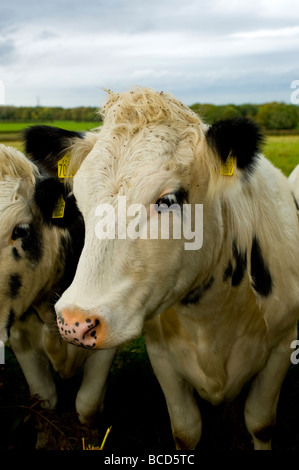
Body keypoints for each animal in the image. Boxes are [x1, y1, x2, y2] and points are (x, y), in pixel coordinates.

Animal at [24, 86, 299, 450]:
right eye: (79, 202)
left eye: (167, 200)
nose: (74, 322)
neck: (211, 317)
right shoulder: (162, 355)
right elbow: (185, 430)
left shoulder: (282, 347)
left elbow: (261, 422)